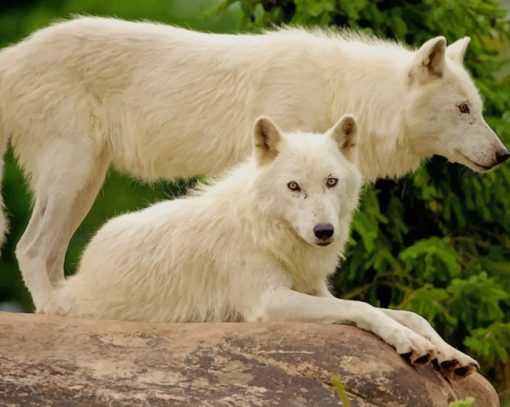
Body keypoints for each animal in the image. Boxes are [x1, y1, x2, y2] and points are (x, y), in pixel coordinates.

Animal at [0, 16, 508, 300]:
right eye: (463, 109)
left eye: (478, 108)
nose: (504, 154)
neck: (343, 91)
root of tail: (15, 53)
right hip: (73, 175)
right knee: (29, 248)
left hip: (85, 184)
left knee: (49, 253)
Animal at [36, 115, 478, 380]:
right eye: (294, 186)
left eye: (331, 182)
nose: (323, 231)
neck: (269, 229)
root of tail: (75, 279)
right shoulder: (268, 301)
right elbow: (364, 307)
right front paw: (410, 343)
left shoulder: (317, 292)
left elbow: (408, 313)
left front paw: (445, 351)